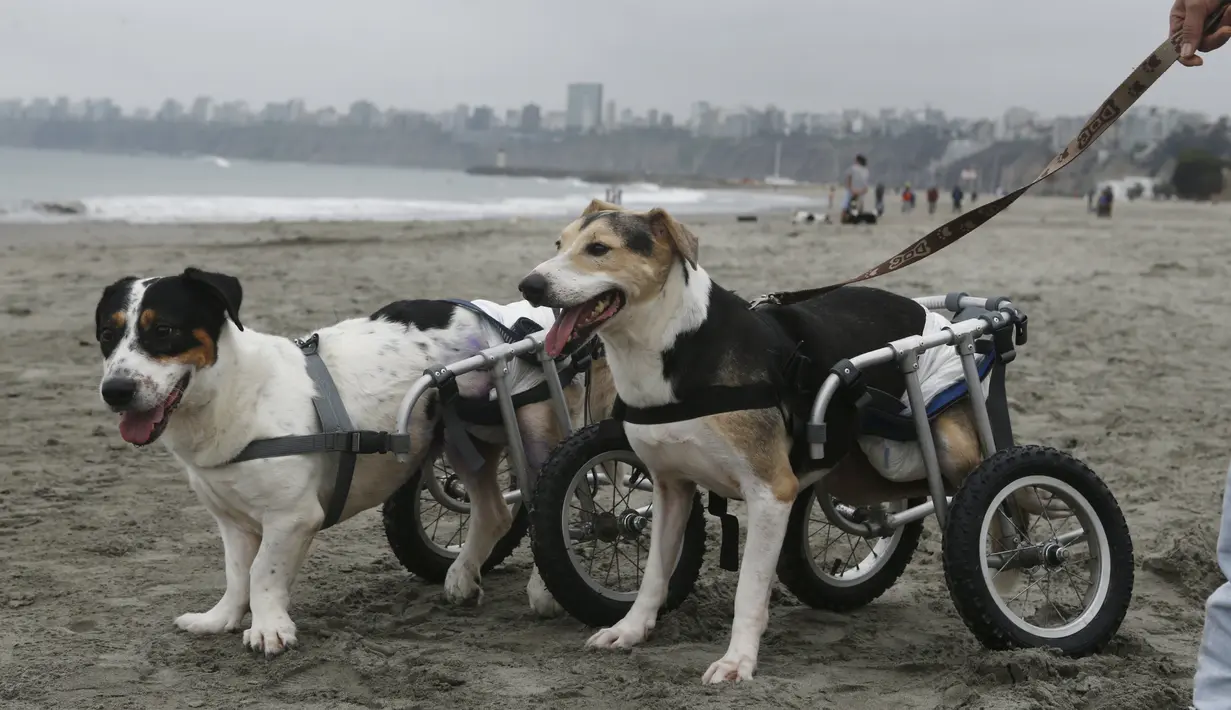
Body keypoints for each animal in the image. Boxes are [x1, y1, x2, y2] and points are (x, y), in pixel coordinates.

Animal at [91, 268, 610, 654]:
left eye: (164, 330)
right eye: (106, 335)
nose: (115, 391)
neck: (237, 393)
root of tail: (511, 318)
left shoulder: (293, 517)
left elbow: (262, 572)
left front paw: (268, 628)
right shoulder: (233, 521)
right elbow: (238, 573)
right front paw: (220, 618)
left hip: (536, 429)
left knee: (554, 504)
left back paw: (545, 589)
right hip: (467, 439)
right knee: (495, 511)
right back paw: (462, 576)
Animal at [517, 199, 989, 679]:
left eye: (598, 249)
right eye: (559, 243)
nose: (529, 285)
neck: (674, 341)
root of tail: (922, 309)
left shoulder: (770, 492)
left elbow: (748, 588)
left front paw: (737, 660)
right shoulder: (670, 486)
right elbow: (654, 574)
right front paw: (630, 630)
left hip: (953, 448)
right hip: (857, 465)